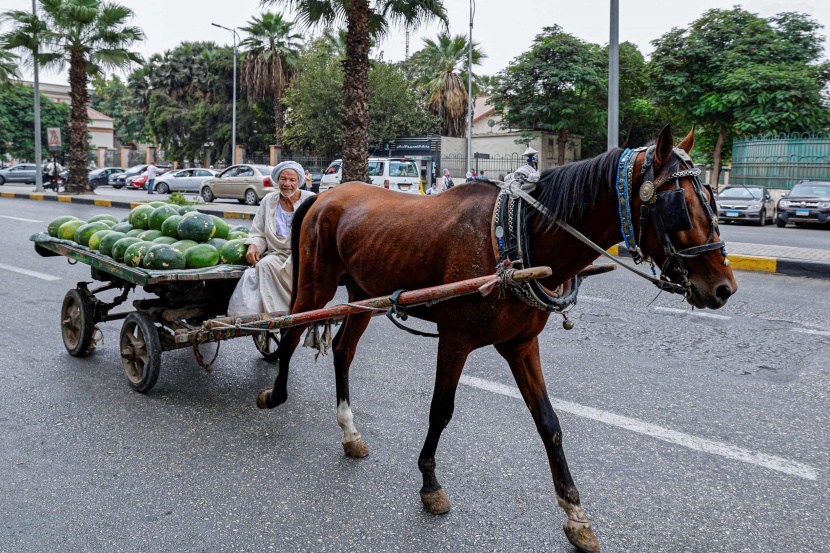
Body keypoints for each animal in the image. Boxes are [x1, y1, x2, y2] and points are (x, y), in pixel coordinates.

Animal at [258, 127, 736, 548]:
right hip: (317, 285)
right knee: (289, 330)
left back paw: (349, 430)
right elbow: (441, 411)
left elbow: (549, 423)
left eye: (712, 198)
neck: (517, 239)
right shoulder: (454, 340)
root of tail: (322, 194)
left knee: (342, 350)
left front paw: (574, 513)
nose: (724, 288)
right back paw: (276, 393)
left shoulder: (521, 345)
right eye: (679, 204)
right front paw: (430, 483)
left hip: (363, 295)